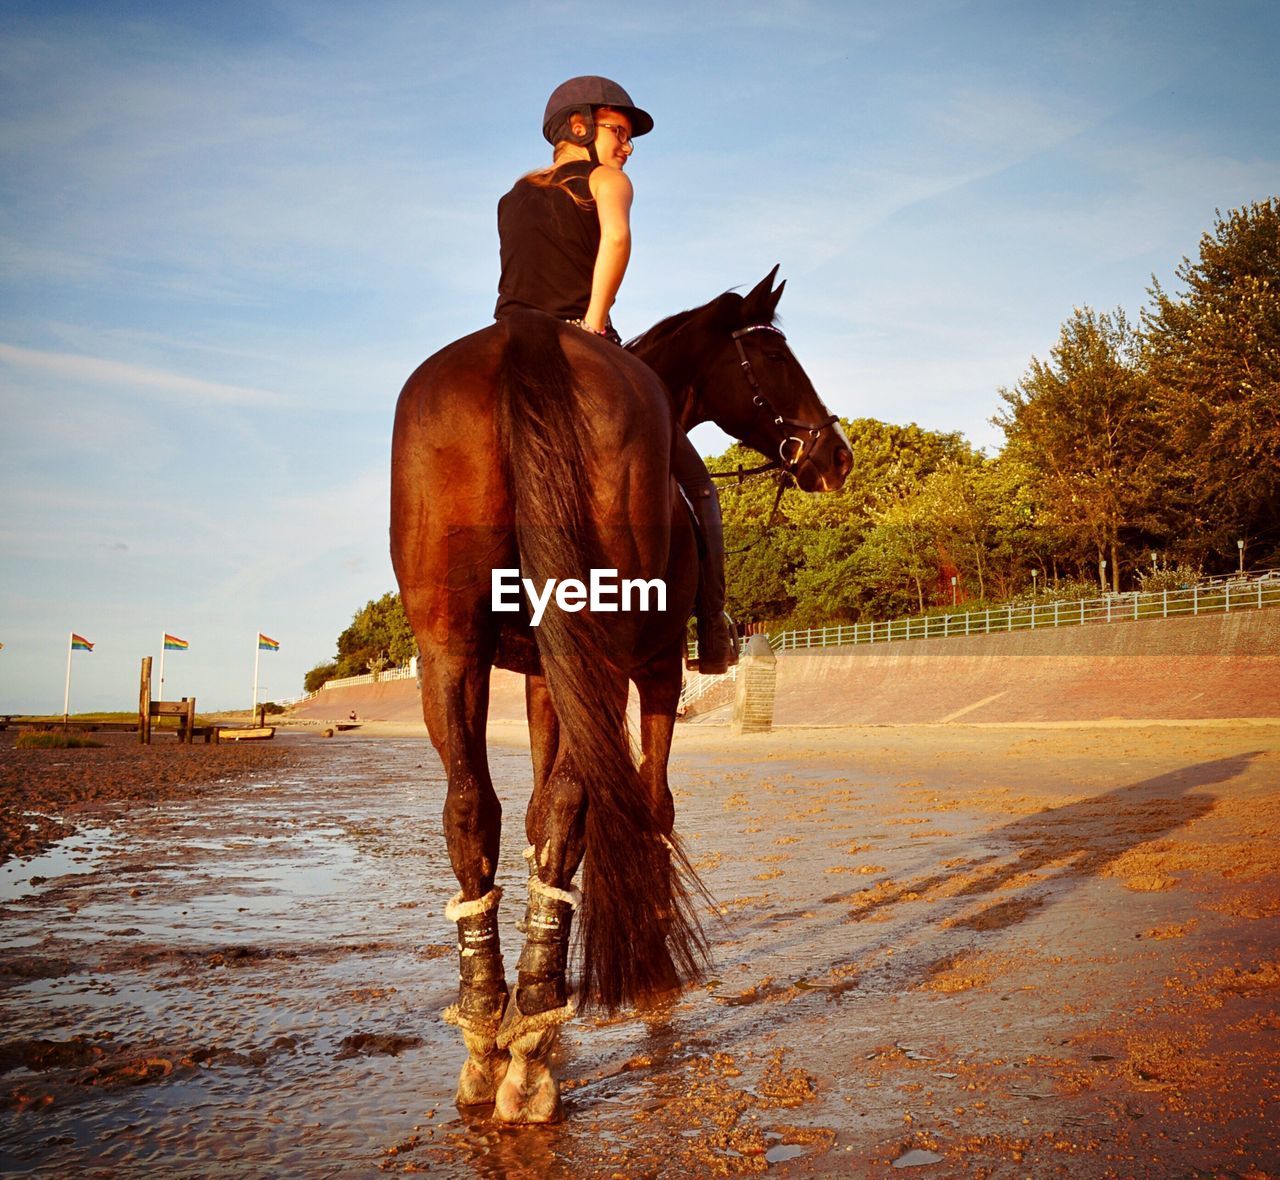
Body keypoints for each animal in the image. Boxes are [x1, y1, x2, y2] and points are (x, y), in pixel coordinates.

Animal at [389, 268, 849, 1121]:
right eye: (775, 355)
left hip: (452, 650)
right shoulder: (659, 669)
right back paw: (532, 1046)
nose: (836, 454)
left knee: (474, 810)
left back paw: (491, 1029)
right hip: (603, 653)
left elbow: (533, 813)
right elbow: (652, 802)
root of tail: (524, 341)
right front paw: (651, 963)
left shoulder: (544, 676)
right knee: (579, 802)